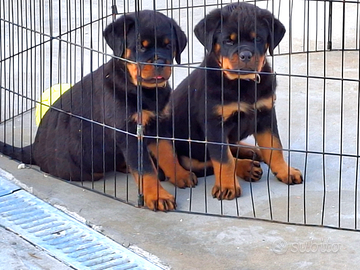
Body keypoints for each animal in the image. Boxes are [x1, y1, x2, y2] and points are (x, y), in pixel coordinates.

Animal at [0, 11, 197, 211]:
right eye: (140, 47)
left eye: (169, 46)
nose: (160, 63)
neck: (142, 90)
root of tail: (33, 147)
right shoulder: (129, 134)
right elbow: (145, 169)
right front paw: (158, 196)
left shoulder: (160, 124)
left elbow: (168, 153)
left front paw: (181, 174)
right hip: (81, 169)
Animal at [173, 2, 302, 200]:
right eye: (228, 41)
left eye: (257, 39)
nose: (246, 55)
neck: (242, 84)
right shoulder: (215, 124)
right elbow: (223, 160)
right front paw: (228, 187)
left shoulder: (265, 115)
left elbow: (275, 147)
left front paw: (285, 171)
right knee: (209, 162)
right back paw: (247, 166)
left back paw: (252, 153)